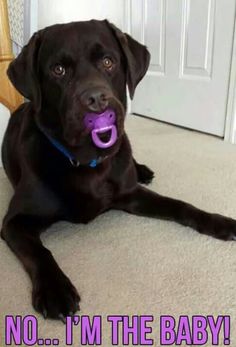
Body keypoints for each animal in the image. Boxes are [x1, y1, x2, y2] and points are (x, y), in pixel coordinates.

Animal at [1, 20, 236, 322]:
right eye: (58, 70)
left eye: (108, 61)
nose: (97, 100)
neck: (86, 160)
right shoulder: (15, 222)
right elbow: (39, 251)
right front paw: (55, 290)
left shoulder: (132, 194)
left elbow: (181, 205)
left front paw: (219, 222)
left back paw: (143, 170)